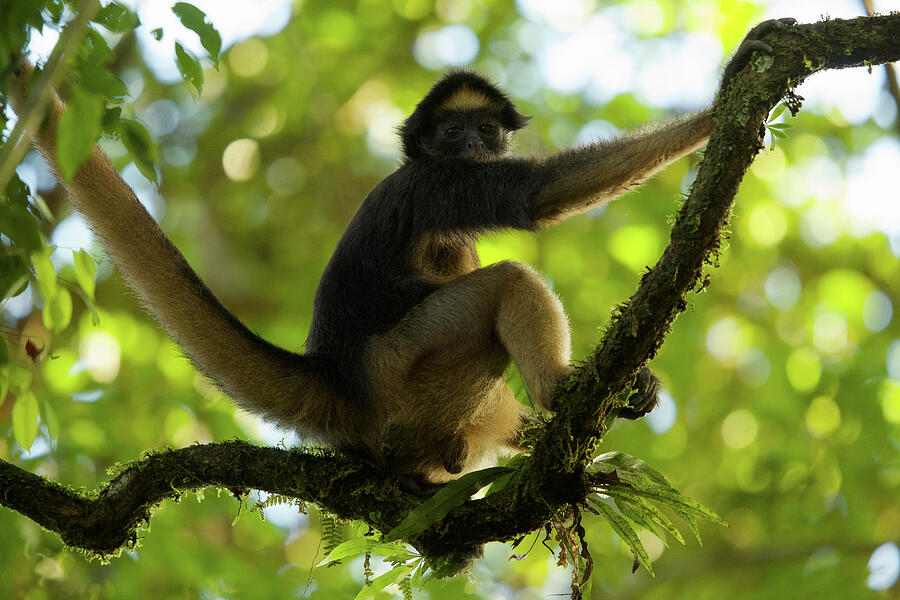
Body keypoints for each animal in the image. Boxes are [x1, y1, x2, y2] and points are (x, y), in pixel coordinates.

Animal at [7, 16, 796, 482]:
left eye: (485, 128)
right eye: (453, 133)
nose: (473, 144)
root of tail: (336, 373)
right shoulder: (434, 184)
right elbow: (538, 196)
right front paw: (725, 92)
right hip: (403, 371)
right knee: (508, 281)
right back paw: (558, 393)